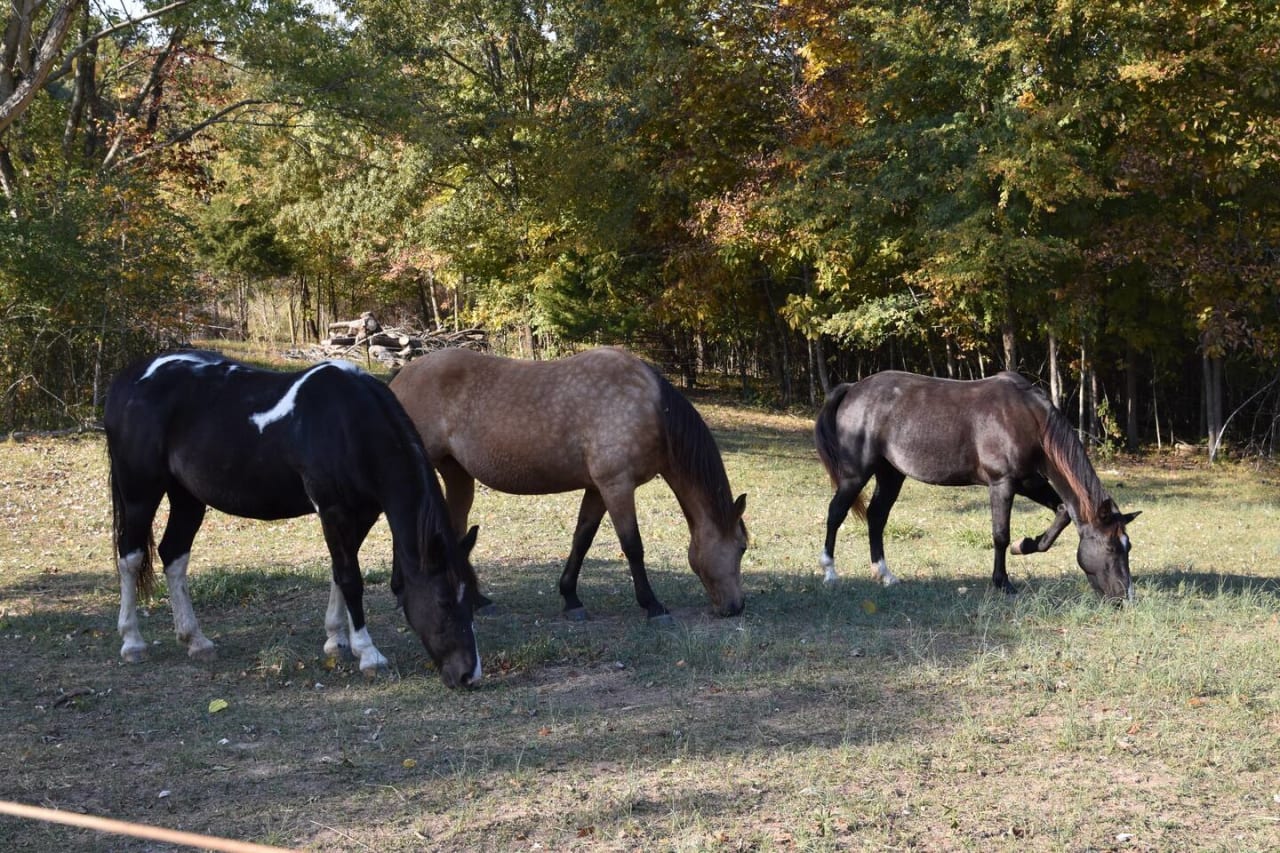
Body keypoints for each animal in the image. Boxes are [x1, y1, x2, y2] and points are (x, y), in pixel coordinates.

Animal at [104, 348, 481, 686]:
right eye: (444, 600)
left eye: (474, 601)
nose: (469, 675)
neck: (349, 423)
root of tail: (128, 380)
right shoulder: (332, 510)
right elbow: (351, 579)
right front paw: (368, 653)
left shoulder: (362, 513)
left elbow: (339, 572)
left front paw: (336, 640)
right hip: (140, 494)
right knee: (131, 557)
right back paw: (133, 642)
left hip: (187, 497)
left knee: (173, 555)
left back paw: (195, 640)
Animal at [391, 343, 747, 617]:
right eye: (742, 547)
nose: (736, 607)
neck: (651, 408)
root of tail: (398, 379)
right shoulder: (617, 486)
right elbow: (632, 545)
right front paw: (653, 606)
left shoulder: (598, 488)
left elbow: (582, 539)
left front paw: (571, 598)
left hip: (456, 473)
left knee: (454, 526)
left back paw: (475, 600)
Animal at [814, 371, 1136, 596]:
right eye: (1111, 548)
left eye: (1128, 546)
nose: (1126, 596)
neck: (1029, 419)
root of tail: (853, 388)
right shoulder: (1003, 483)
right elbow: (1000, 535)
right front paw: (1002, 582)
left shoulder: (1028, 480)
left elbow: (1062, 512)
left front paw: (1025, 545)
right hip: (856, 473)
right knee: (836, 512)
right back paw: (830, 573)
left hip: (891, 474)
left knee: (876, 517)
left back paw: (885, 575)